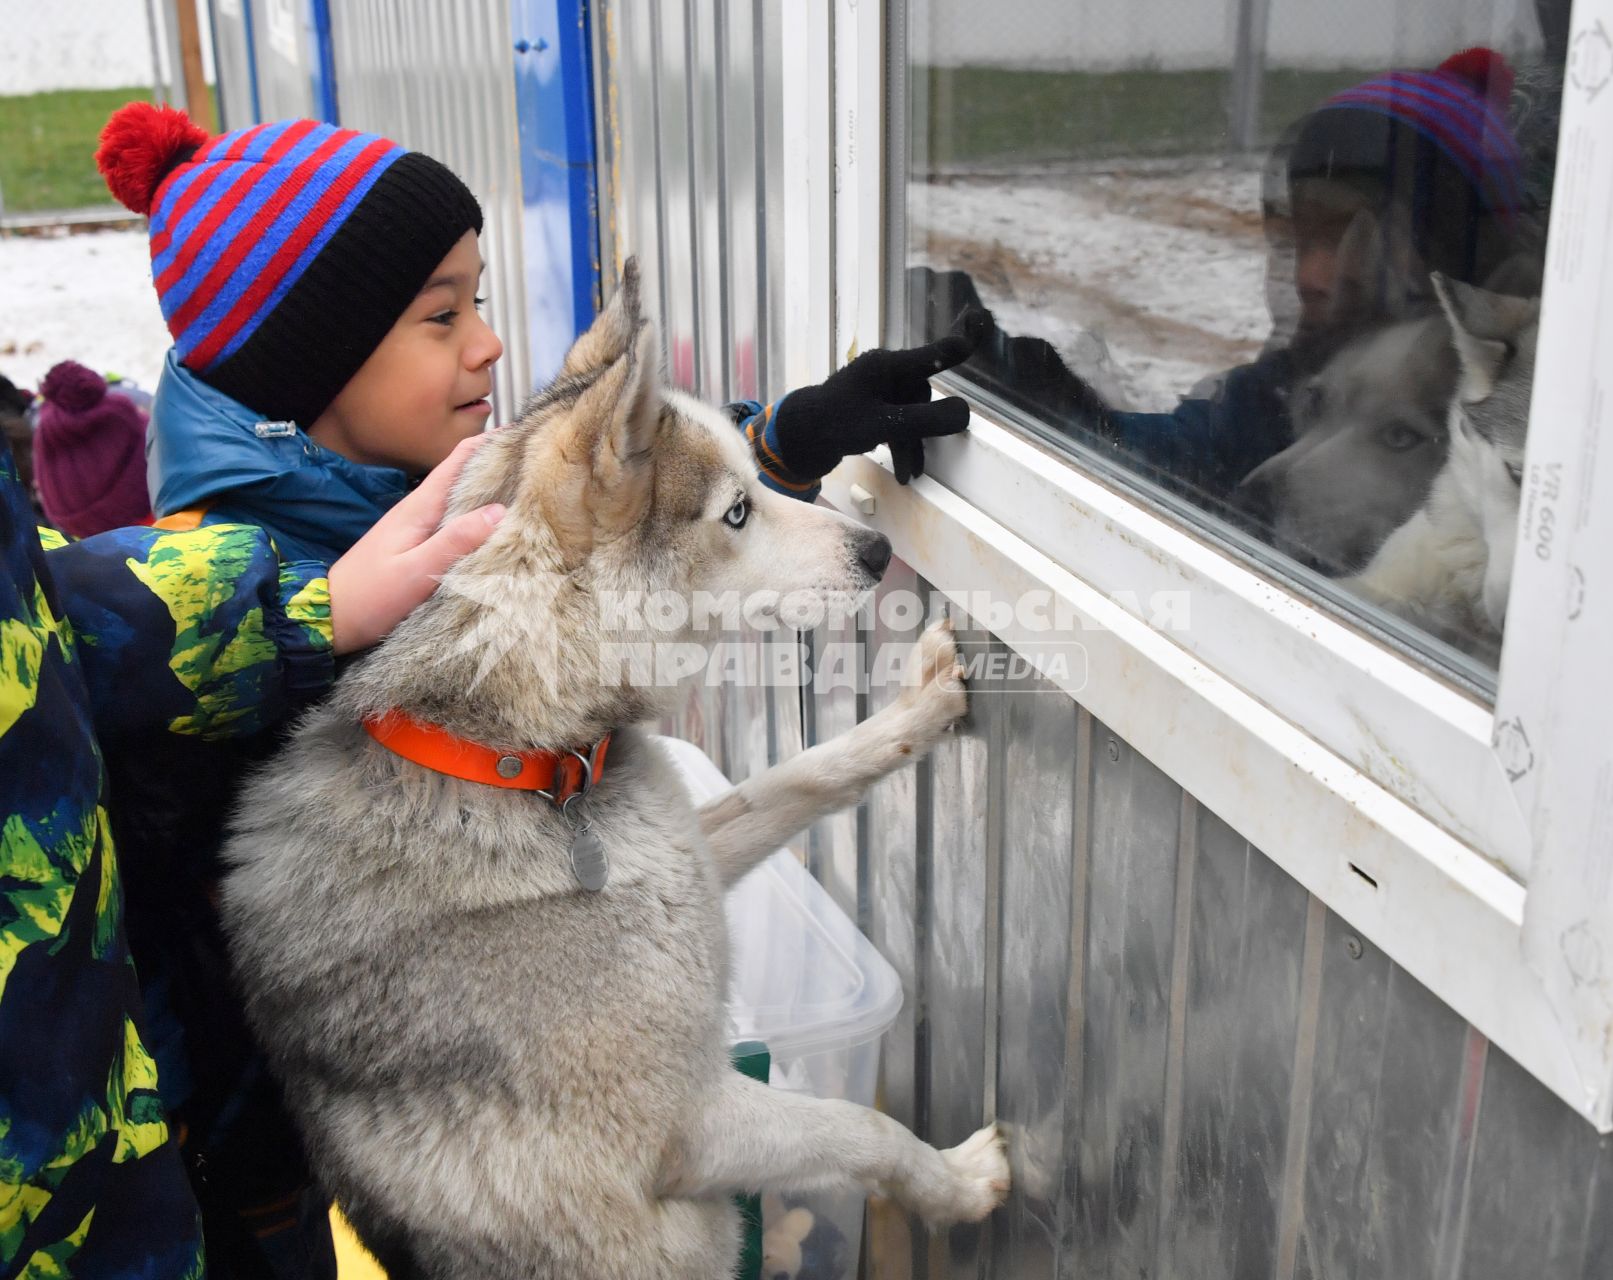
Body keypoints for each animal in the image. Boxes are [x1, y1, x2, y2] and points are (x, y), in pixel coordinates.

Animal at [220, 261, 1000, 1276]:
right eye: (736, 513)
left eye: (755, 482)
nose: (875, 550)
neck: (526, 763)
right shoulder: (691, 1123)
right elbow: (860, 1128)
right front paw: (960, 1182)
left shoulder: (687, 846)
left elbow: (799, 776)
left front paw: (917, 711)